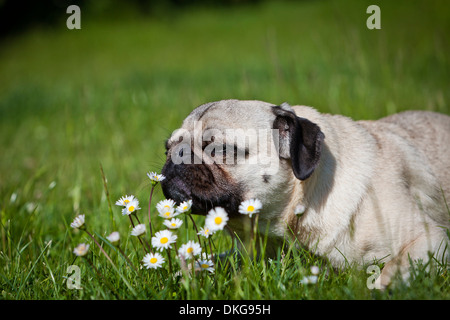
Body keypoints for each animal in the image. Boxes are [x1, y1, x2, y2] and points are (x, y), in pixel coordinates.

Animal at [162, 98, 450, 288]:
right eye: (168, 147)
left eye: (219, 149)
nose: (176, 156)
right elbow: (203, 260)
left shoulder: (429, 239)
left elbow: (389, 274)